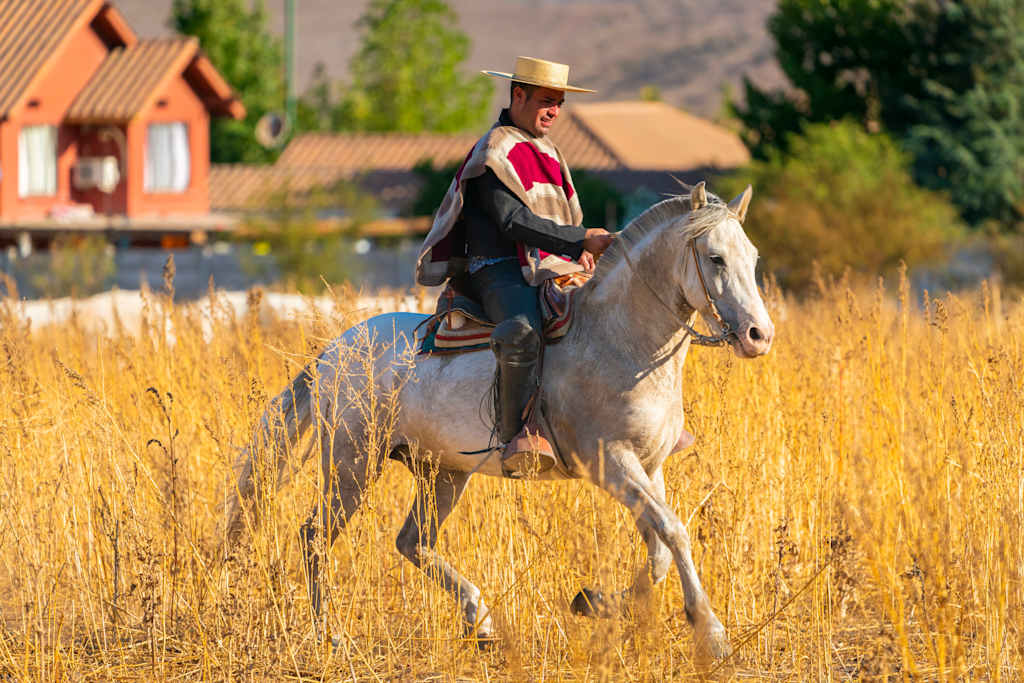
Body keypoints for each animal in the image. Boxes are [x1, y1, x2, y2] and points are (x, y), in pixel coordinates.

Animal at [226, 181, 774, 660]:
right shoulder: (612, 463)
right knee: (316, 537)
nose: (758, 335)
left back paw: (481, 620)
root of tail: (332, 353)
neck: (618, 339)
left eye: (752, 258)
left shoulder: (649, 466)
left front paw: (595, 603)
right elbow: (674, 532)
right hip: (352, 464)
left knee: (412, 541)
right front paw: (712, 633)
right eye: (715, 258)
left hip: (443, 473)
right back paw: (332, 635)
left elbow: (659, 548)